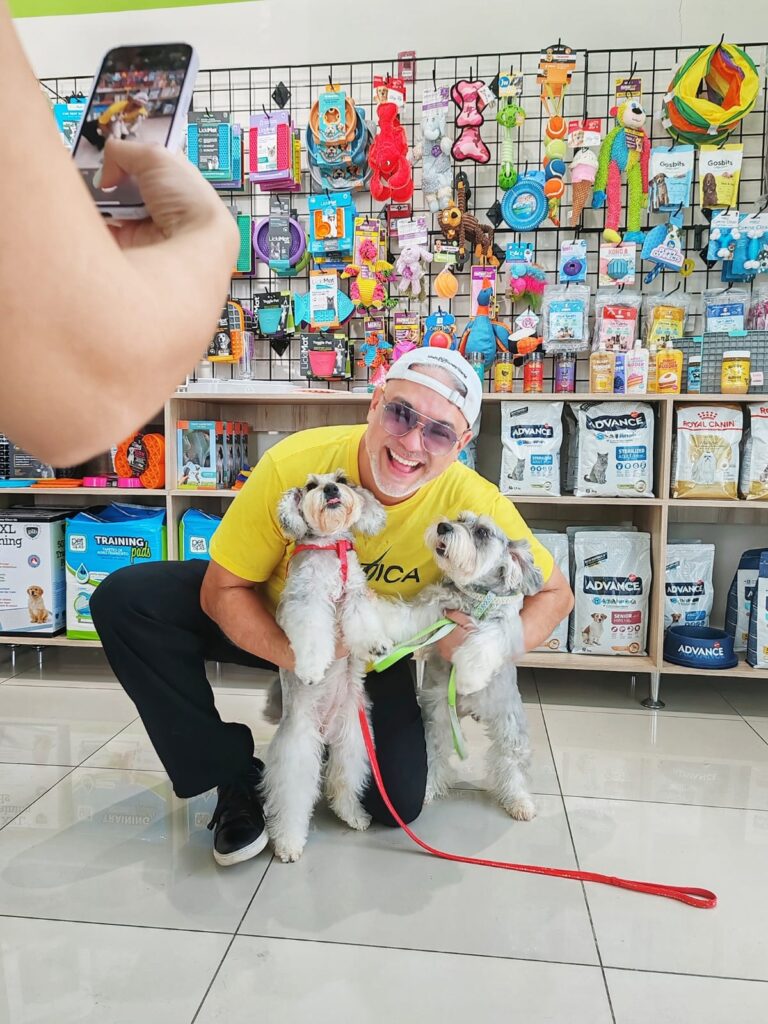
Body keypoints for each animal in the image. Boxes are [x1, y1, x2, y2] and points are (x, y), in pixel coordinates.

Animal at [262, 470, 388, 863]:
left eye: (342, 479)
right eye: (310, 486)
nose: (331, 489)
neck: (331, 547)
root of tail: (325, 728)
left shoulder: (355, 595)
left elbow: (364, 619)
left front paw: (377, 643)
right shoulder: (308, 601)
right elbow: (314, 635)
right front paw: (313, 668)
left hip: (354, 741)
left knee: (342, 780)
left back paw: (354, 816)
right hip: (298, 748)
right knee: (292, 796)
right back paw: (288, 842)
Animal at [377, 512, 543, 819]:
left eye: (482, 532)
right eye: (460, 518)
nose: (444, 526)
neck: (475, 596)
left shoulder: (507, 627)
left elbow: (485, 641)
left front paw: (468, 677)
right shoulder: (433, 607)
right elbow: (403, 617)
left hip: (509, 724)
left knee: (511, 761)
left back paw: (519, 801)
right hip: (438, 718)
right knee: (435, 755)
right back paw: (427, 790)